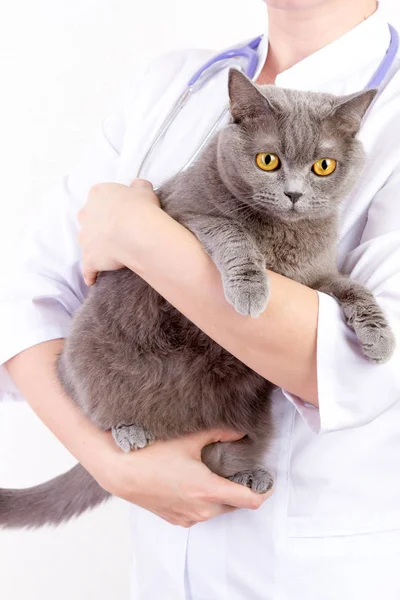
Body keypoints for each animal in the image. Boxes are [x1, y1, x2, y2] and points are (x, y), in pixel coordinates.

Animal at [0, 71, 394, 528]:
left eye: (323, 166)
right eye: (267, 160)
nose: (294, 194)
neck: (284, 237)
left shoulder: (316, 279)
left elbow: (355, 288)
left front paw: (380, 339)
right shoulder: (188, 216)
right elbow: (232, 232)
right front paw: (250, 291)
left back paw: (249, 476)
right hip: (83, 350)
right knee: (91, 410)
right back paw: (129, 432)